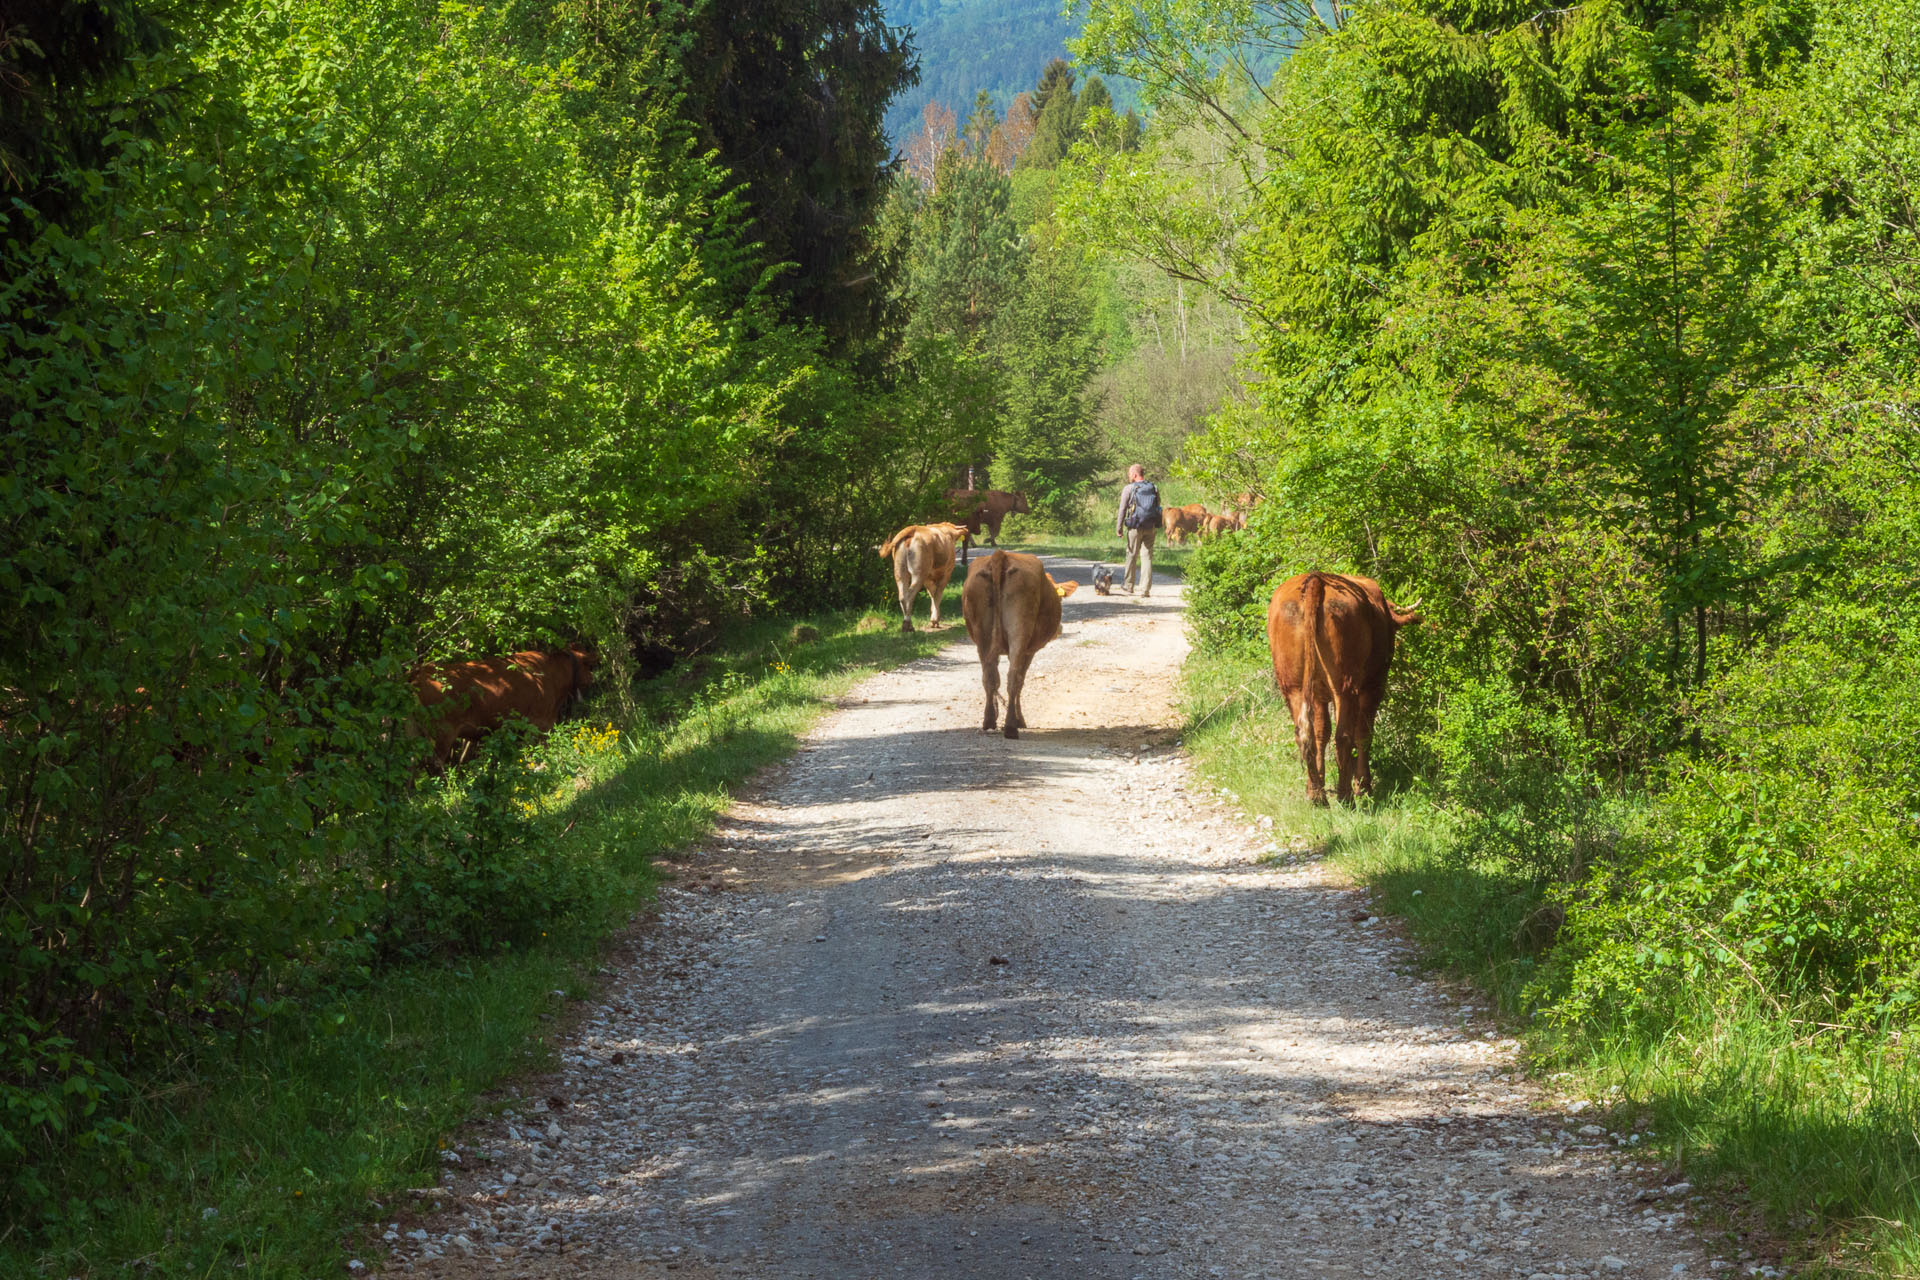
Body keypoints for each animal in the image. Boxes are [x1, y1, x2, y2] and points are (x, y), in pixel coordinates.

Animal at [414, 644, 595, 767]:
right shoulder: (538, 725)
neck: (552, 674)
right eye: (589, 666)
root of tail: (421, 673)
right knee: (434, 764)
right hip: (443, 734)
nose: (593, 678)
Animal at [960, 552, 1067, 740]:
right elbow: (1021, 681)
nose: (1060, 630)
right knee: (1013, 678)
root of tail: (1000, 555)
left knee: (989, 676)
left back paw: (989, 721)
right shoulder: (1029, 652)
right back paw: (1011, 726)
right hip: (1020, 632)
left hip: (982, 636)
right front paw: (1020, 719)